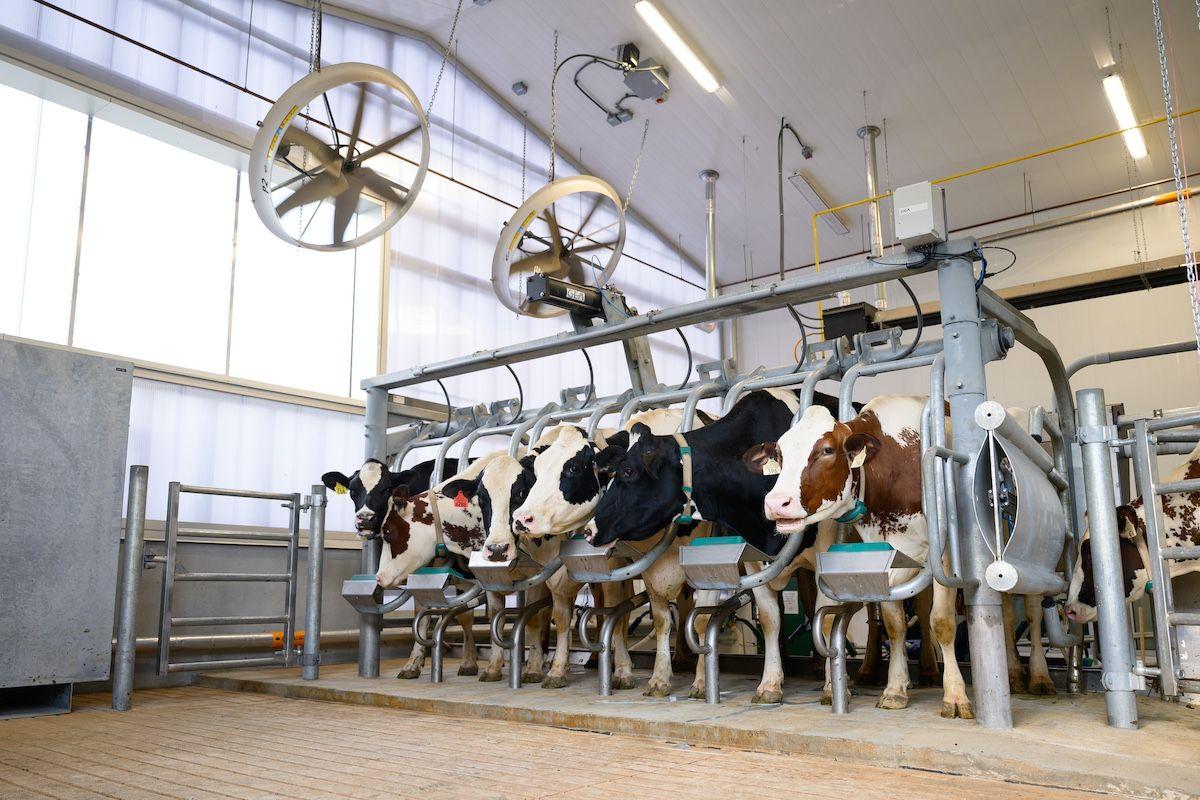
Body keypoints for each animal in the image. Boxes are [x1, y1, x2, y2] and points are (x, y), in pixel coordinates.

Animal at [585, 391, 840, 705]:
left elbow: (825, 619)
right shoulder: (752, 558)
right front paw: (769, 684)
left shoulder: (824, 549)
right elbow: (768, 618)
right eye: (607, 475)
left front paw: (831, 688)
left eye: (628, 472)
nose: (589, 529)